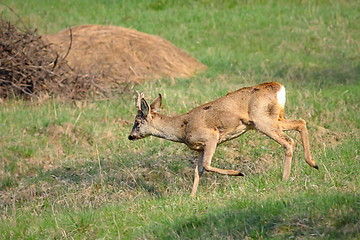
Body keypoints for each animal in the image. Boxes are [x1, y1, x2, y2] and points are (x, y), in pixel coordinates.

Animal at [127, 81, 318, 196]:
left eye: (137, 122)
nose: (130, 136)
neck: (182, 128)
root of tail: (278, 87)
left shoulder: (211, 136)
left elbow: (206, 165)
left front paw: (238, 173)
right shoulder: (200, 148)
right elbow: (198, 170)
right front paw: (192, 196)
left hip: (262, 121)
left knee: (288, 141)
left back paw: (285, 177)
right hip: (274, 118)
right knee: (301, 122)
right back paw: (313, 163)